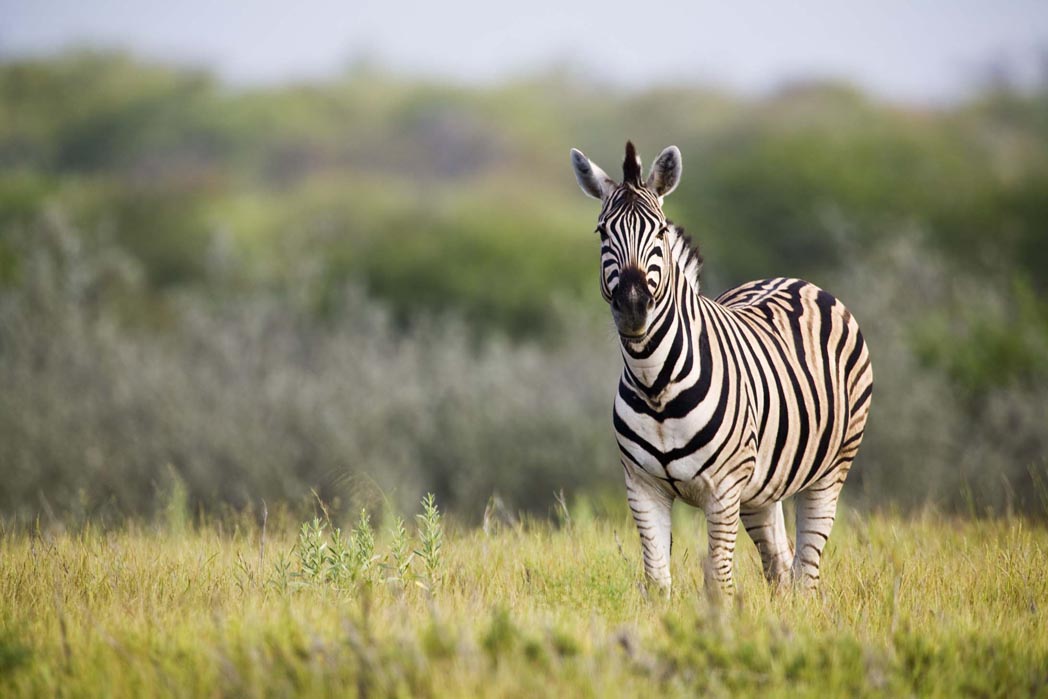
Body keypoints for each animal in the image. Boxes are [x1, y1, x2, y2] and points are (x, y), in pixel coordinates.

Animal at [569, 141, 873, 594]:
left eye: (660, 232)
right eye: (602, 232)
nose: (633, 306)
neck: (655, 383)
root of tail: (793, 280)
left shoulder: (724, 490)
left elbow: (719, 580)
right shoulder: (642, 488)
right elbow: (657, 581)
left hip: (833, 465)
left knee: (806, 571)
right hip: (762, 486)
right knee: (780, 564)